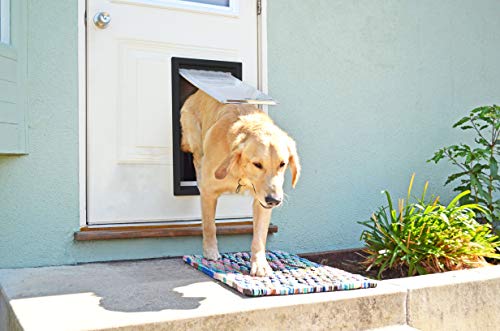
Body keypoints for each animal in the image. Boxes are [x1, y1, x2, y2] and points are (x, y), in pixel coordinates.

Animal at [183, 90, 300, 278]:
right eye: (257, 164)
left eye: (282, 164)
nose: (274, 200)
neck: (242, 174)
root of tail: (197, 92)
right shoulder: (209, 192)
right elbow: (209, 225)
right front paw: (210, 252)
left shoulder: (261, 203)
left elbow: (259, 235)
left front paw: (260, 264)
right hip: (194, 137)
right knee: (196, 158)